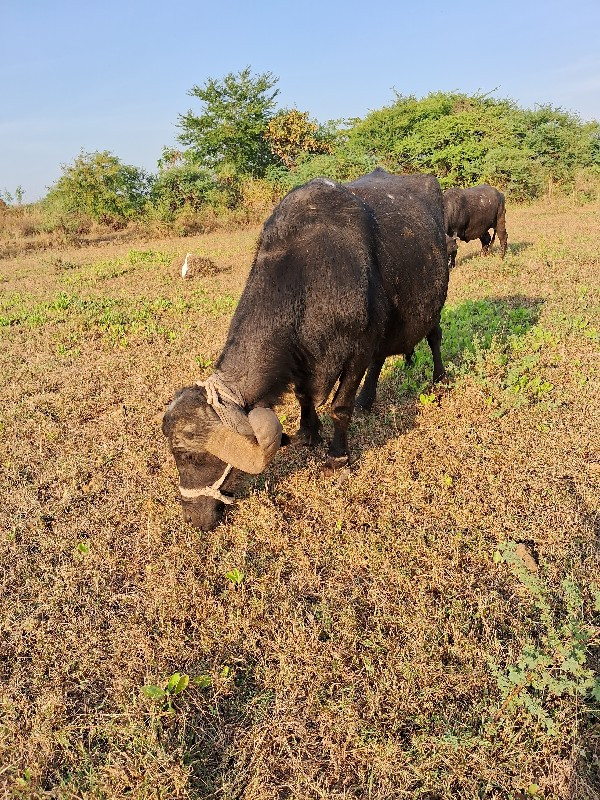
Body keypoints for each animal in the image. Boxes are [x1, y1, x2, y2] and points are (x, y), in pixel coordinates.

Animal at [162, 169, 448, 532]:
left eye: (190, 456)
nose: (193, 518)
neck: (310, 275)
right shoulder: (301, 359)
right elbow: (303, 397)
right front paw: (308, 433)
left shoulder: (358, 349)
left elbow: (340, 406)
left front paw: (337, 456)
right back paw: (368, 399)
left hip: (434, 307)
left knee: (434, 338)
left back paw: (439, 379)